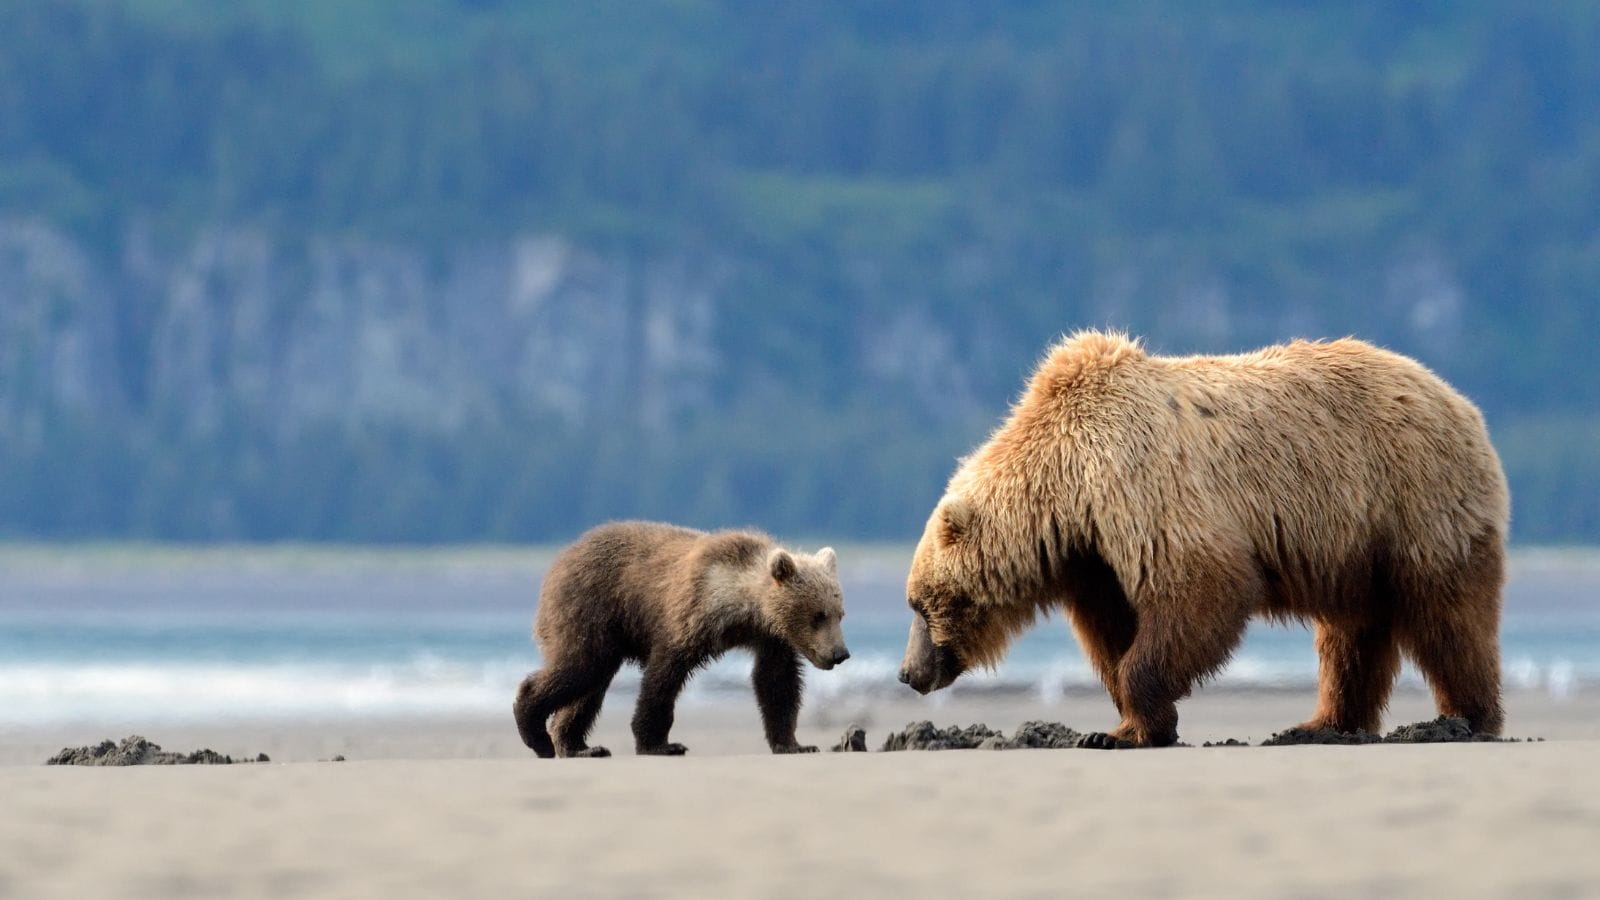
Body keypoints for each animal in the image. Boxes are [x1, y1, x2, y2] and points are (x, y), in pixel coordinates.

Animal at [518, 518, 857, 755]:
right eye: (818, 615)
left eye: (839, 612)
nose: (840, 653)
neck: (742, 608)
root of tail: (563, 555)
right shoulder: (688, 616)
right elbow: (663, 678)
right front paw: (660, 743)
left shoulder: (770, 639)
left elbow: (776, 683)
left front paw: (795, 743)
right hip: (589, 609)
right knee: (580, 668)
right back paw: (536, 732)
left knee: (589, 687)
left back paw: (579, 746)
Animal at [902, 333, 1510, 746]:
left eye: (918, 604)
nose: (908, 673)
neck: (1067, 490)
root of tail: (1462, 403)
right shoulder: (1095, 557)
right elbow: (1113, 631)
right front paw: (1123, 726)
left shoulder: (1142, 490)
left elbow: (1201, 591)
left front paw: (1133, 724)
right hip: (1355, 546)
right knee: (1352, 634)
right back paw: (1323, 723)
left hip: (1414, 502)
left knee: (1448, 615)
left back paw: (1467, 718)